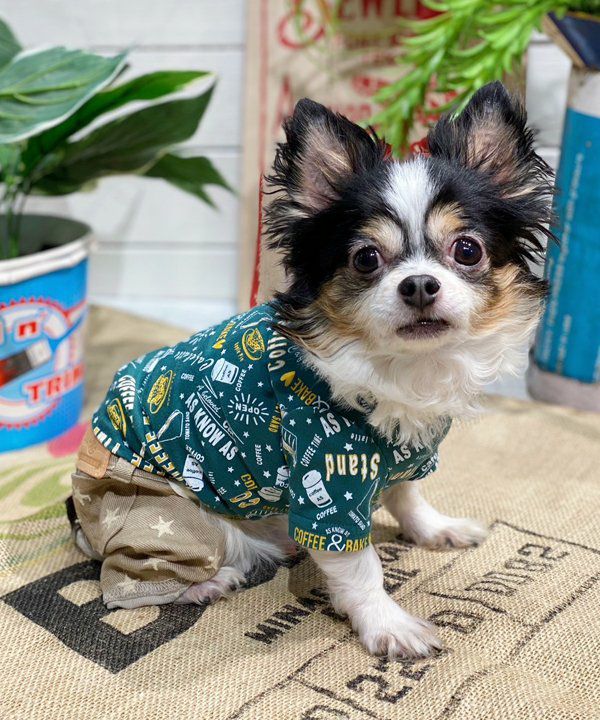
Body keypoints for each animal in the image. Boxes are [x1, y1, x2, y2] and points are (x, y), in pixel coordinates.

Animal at [70, 81, 554, 658]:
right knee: (124, 581)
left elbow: (408, 497)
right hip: (170, 520)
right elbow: (362, 568)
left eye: (467, 249)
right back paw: (209, 584)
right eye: (366, 259)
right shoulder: (328, 483)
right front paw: (388, 625)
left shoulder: (402, 460)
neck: (404, 369)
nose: (418, 284)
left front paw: (434, 529)